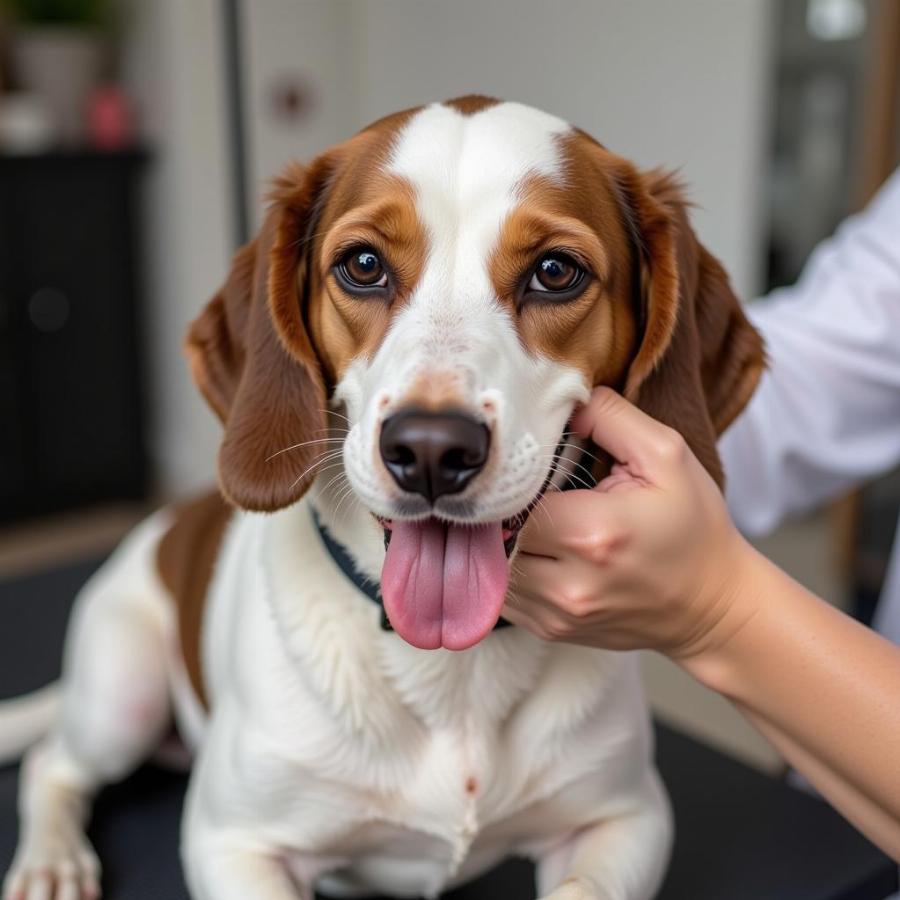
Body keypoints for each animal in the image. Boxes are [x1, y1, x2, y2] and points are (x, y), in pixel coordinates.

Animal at [1, 98, 768, 900]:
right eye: (363, 266)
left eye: (556, 272)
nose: (431, 449)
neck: (453, 666)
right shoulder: (232, 842)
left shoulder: (627, 818)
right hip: (123, 695)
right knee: (52, 764)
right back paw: (51, 859)